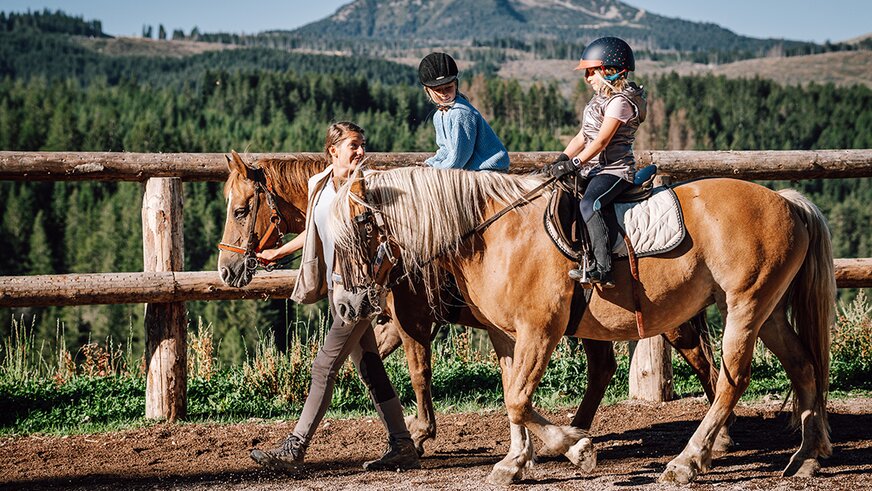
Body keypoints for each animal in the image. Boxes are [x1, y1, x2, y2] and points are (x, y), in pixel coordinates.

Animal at [216, 151, 728, 458]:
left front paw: (420, 434)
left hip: (664, 316)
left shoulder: (412, 317)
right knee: (604, 368)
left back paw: (716, 439)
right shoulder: (392, 320)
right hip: (587, 320)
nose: (227, 268)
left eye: (241, 209)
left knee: (702, 361)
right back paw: (574, 434)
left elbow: (419, 371)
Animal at [330, 166, 836, 484]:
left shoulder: (538, 330)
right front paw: (517, 461)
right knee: (803, 366)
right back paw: (807, 456)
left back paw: (688, 461)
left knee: (731, 380)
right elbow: (513, 395)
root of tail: (785, 201)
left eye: (358, 224)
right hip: (767, 311)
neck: (494, 235)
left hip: (744, 306)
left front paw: (574, 446)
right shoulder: (508, 333)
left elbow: (514, 397)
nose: (347, 302)